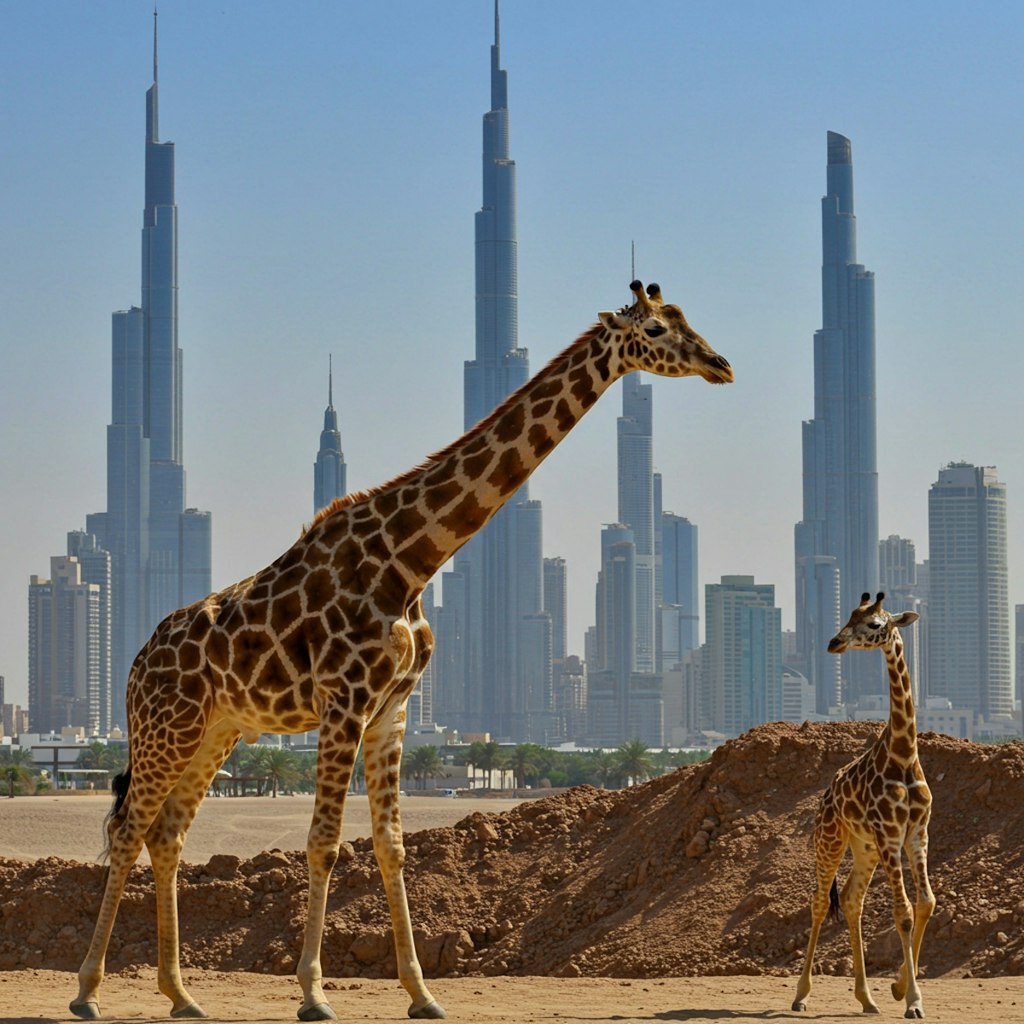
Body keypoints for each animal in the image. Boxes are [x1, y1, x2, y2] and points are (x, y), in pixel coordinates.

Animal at [70, 282, 729, 1024]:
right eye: (656, 328)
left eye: (685, 318)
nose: (720, 364)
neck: (412, 560)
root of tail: (133, 666)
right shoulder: (344, 701)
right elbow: (324, 842)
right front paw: (313, 993)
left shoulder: (392, 708)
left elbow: (392, 847)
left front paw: (423, 992)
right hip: (166, 728)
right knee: (129, 831)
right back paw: (88, 991)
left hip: (216, 731)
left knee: (168, 835)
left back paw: (182, 994)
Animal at [790, 593, 937, 1015]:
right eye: (849, 617)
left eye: (874, 624)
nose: (833, 643)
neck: (904, 754)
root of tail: (826, 795)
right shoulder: (890, 834)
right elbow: (903, 912)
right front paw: (912, 1000)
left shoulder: (916, 832)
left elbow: (926, 903)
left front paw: (899, 988)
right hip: (830, 840)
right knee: (819, 901)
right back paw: (801, 995)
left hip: (864, 847)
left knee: (852, 901)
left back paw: (867, 998)